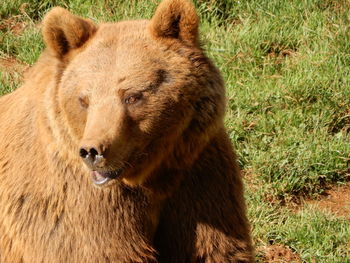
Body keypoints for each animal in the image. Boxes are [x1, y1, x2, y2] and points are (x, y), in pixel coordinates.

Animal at [0, 0, 253, 263]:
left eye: (132, 96)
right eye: (83, 99)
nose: (93, 151)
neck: (150, 177)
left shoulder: (199, 173)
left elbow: (216, 248)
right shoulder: (76, 205)